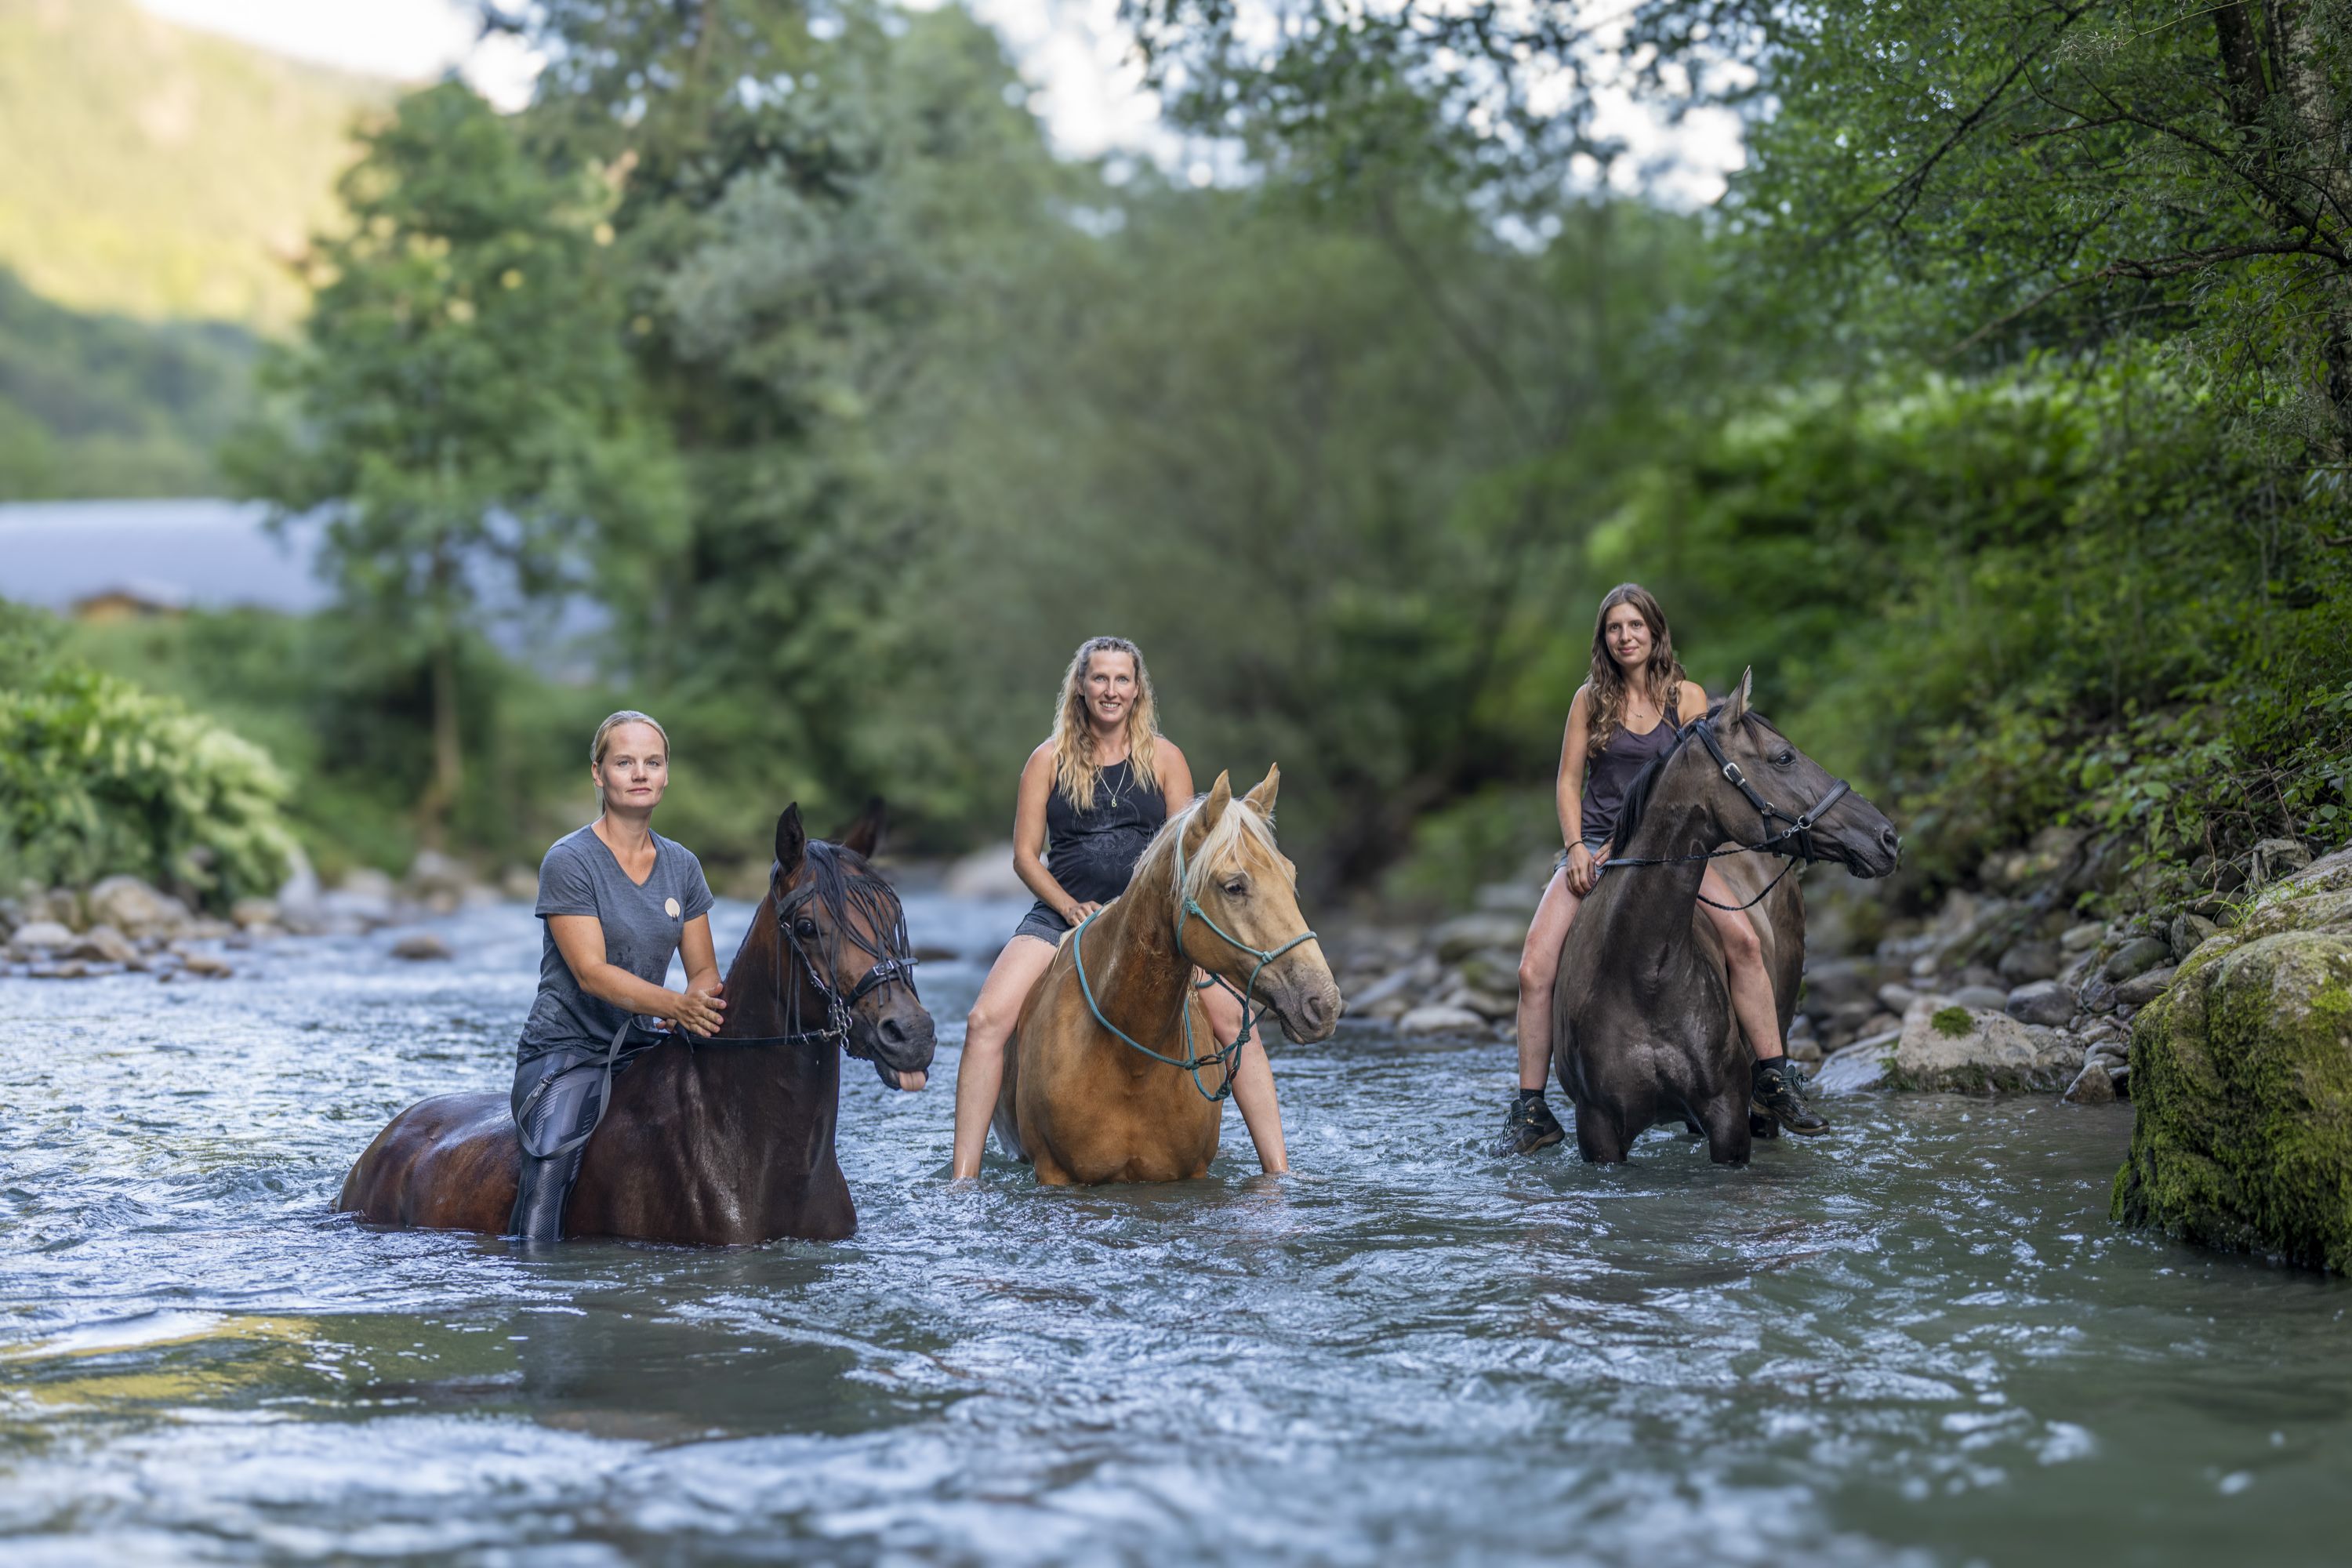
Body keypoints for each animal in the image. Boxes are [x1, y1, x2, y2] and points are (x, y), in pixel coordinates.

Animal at [993, 766, 1345, 1185]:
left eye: (1290, 875)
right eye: (1234, 886)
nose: (1323, 1003)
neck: (1129, 1060)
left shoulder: (1192, 1172)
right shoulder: (1054, 1174)